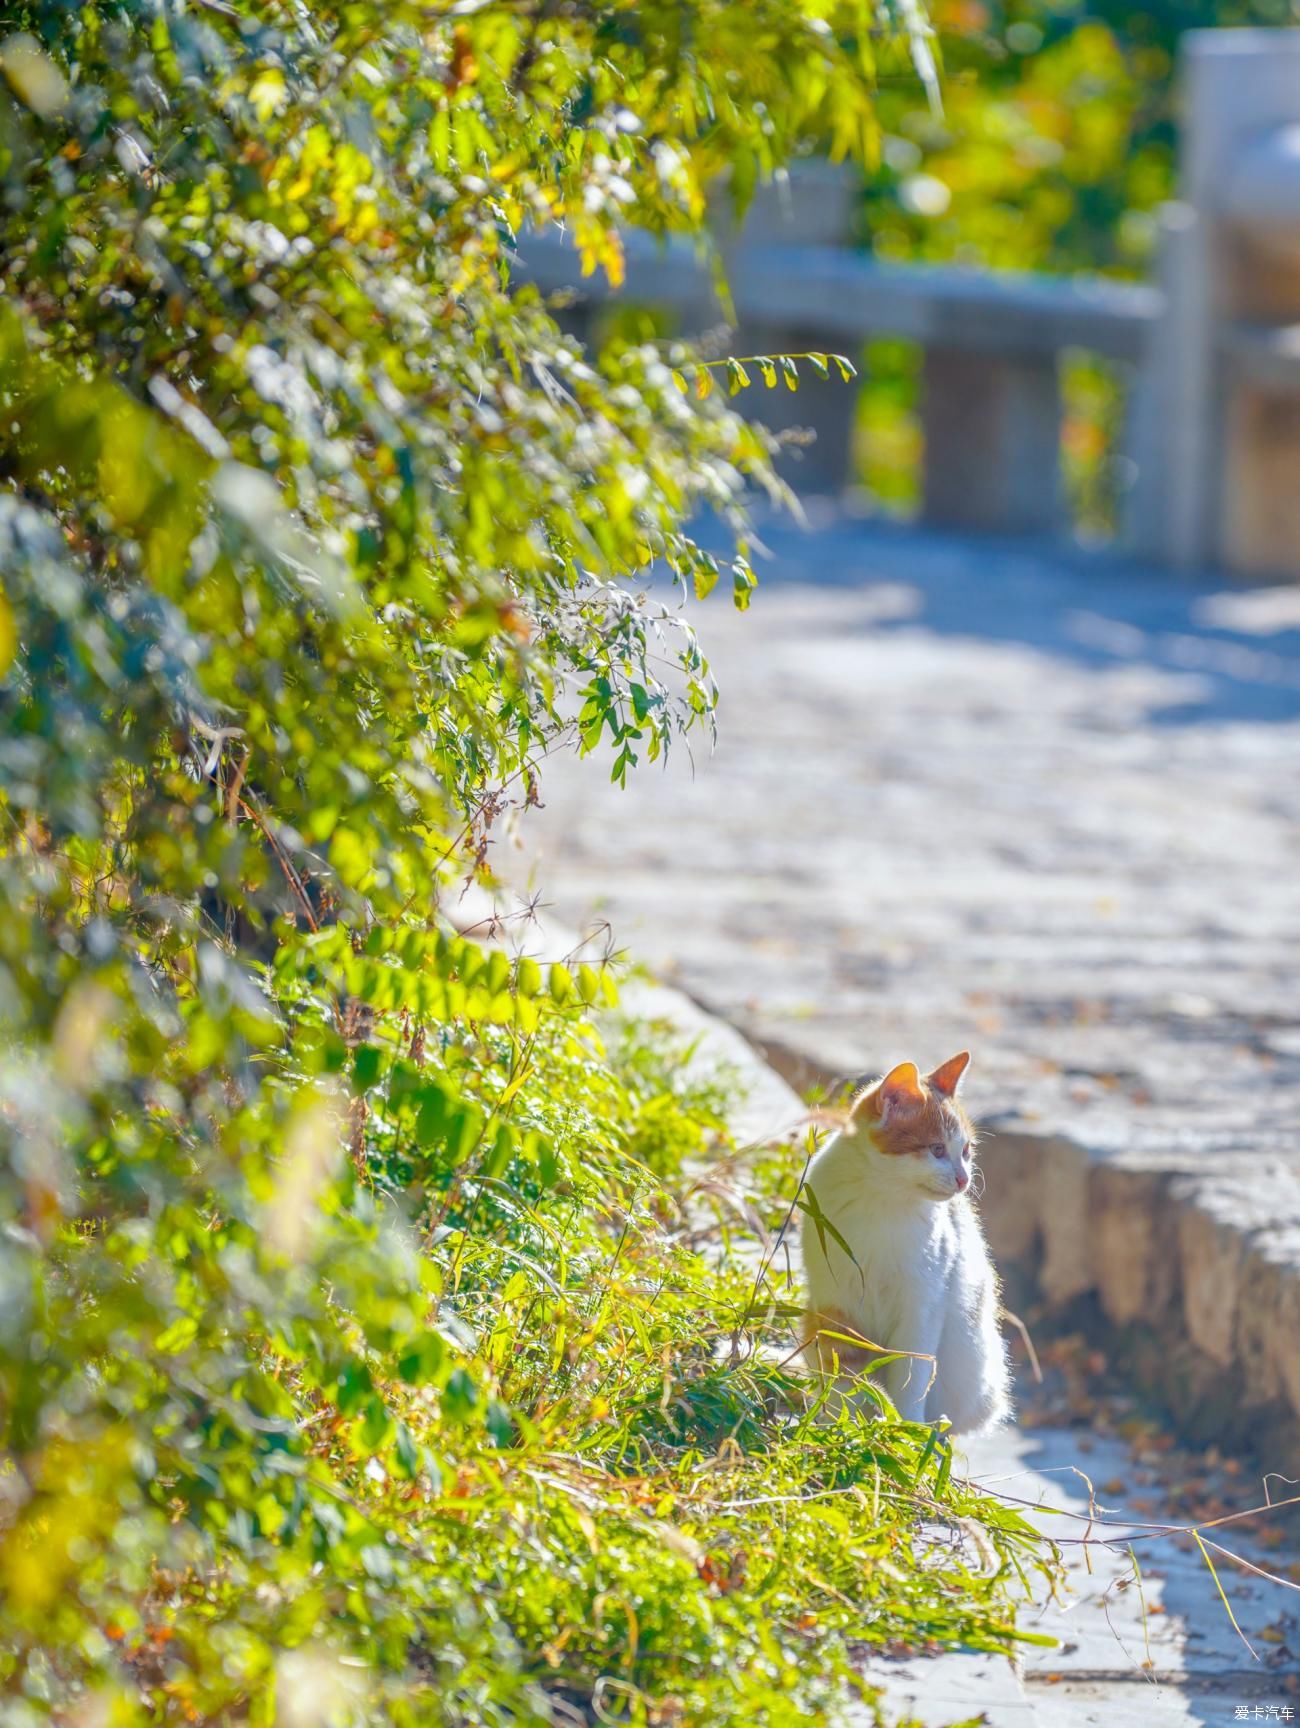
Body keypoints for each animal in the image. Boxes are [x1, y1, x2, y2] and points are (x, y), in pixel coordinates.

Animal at [798, 1043, 1009, 1437]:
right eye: (936, 1149)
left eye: (966, 1151)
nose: (963, 1178)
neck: (882, 1199)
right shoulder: (835, 1305)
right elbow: (844, 1376)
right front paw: (841, 1427)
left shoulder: (921, 1307)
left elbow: (912, 1375)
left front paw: (904, 1430)